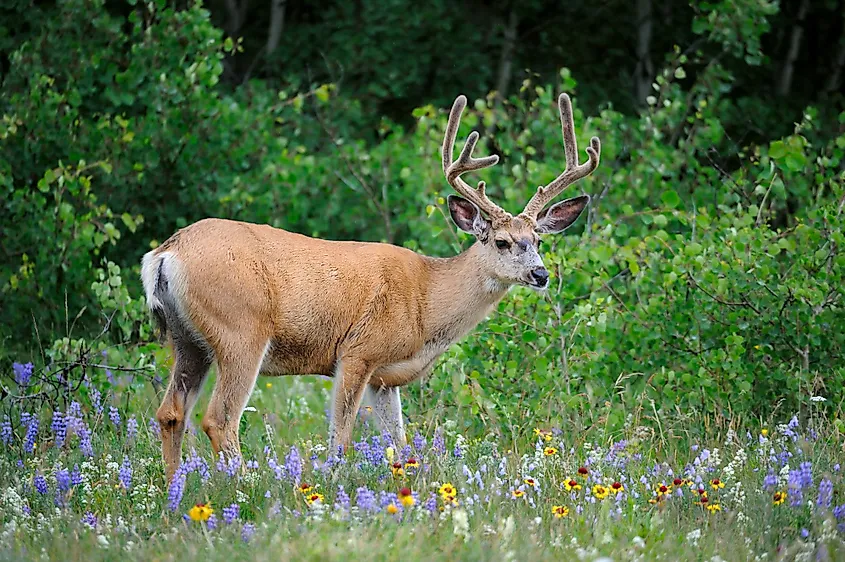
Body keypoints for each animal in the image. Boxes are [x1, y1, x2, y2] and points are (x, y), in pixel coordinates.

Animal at [142, 92, 596, 476]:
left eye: (538, 240)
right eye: (502, 241)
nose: (540, 274)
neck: (426, 302)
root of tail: (165, 254)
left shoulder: (385, 377)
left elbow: (401, 443)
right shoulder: (357, 352)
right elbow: (340, 439)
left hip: (188, 339)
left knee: (171, 412)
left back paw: (174, 489)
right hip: (241, 330)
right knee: (219, 419)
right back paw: (244, 485)